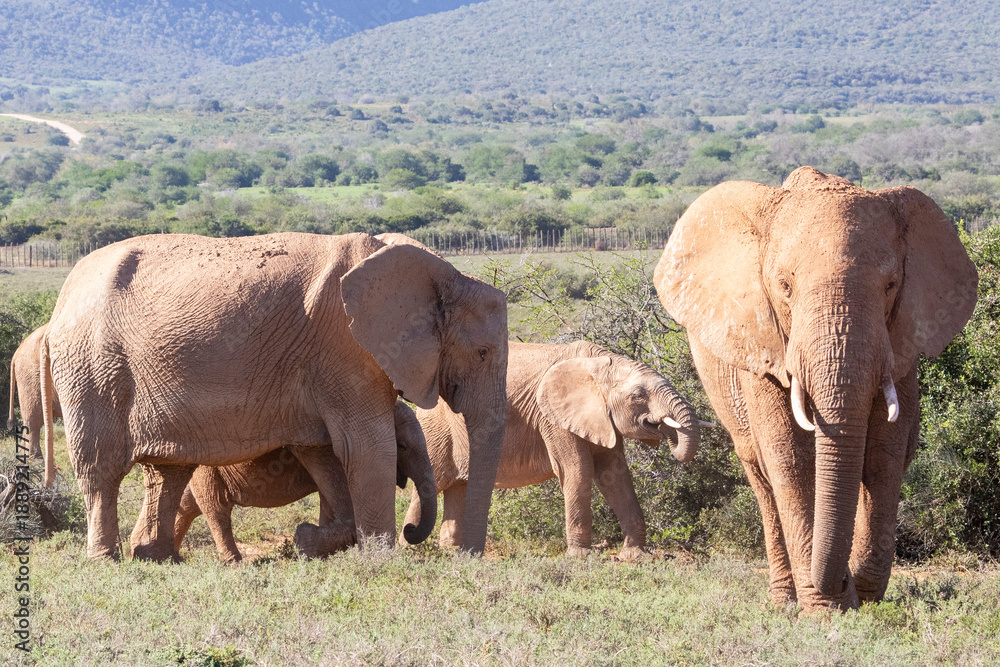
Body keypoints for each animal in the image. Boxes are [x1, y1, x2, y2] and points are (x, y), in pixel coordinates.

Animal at [173, 400, 436, 562]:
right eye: (402, 446)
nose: (409, 528)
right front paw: (307, 543)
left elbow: (329, 500)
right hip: (208, 465)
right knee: (216, 508)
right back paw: (234, 563)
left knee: (188, 504)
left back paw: (171, 557)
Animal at [405, 340, 704, 560]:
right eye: (638, 396)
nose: (667, 432)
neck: (598, 364)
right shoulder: (552, 417)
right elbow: (578, 471)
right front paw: (581, 557)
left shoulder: (600, 418)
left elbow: (615, 476)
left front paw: (637, 557)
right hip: (435, 426)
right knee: (433, 483)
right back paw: (411, 549)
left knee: (458, 487)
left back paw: (454, 552)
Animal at [654, 167, 978, 611]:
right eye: (784, 286)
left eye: (891, 285)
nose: (841, 583)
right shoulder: (765, 345)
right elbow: (790, 459)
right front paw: (826, 609)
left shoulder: (901, 344)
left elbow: (884, 455)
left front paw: (861, 597)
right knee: (761, 476)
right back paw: (784, 601)